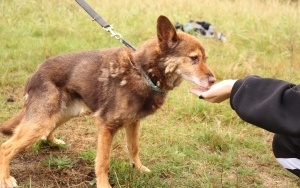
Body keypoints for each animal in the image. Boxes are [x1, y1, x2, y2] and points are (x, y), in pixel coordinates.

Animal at [0, 15, 216, 187]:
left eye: (205, 58)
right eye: (194, 58)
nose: (214, 81)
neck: (143, 71)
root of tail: (36, 72)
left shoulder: (133, 123)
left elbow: (134, 148)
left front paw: (138, 168)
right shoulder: (107, 127)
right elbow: (103, 161)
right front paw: (104, 185)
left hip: (65, 113)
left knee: (46, 133)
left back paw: (54, 142)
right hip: (42, 120)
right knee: (6, 148)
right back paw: (6, 179)